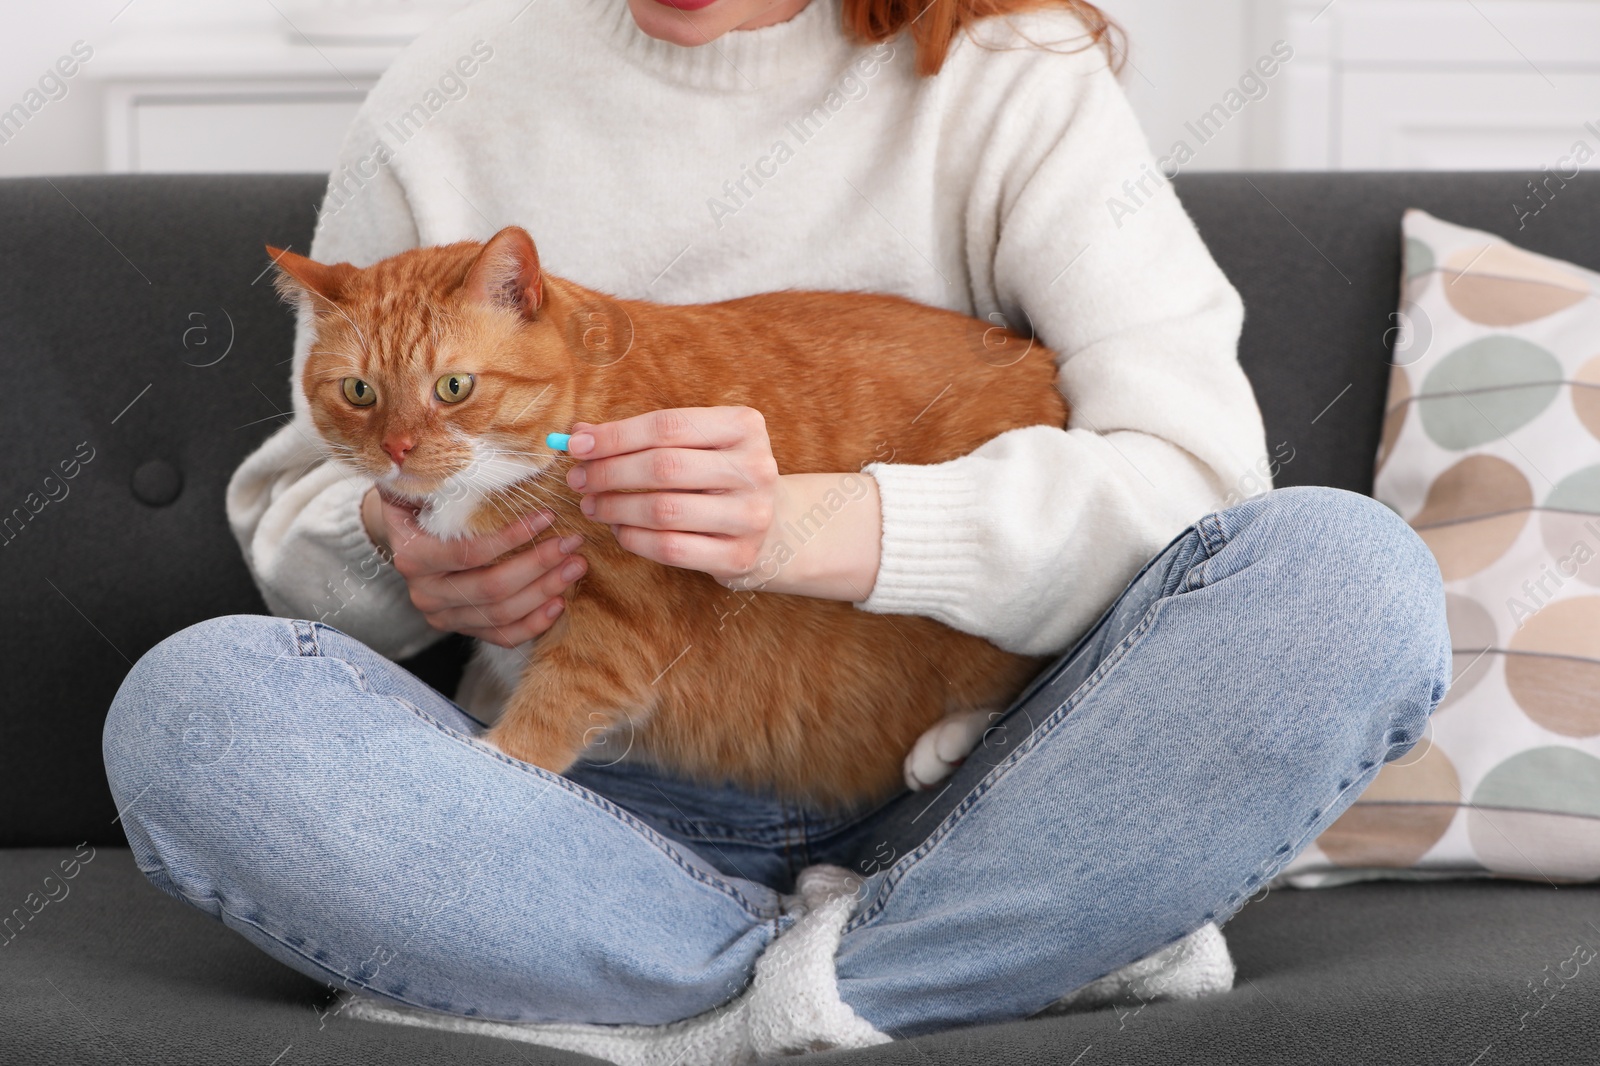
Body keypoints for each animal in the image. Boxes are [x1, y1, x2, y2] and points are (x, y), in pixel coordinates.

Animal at [272, 224, 1075, 806]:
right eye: (359, 392)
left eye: (454, 386)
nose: (397, 450)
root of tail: (1041, 362)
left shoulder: (621, 624)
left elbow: (553, 708)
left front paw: (494, 757)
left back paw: (947, 740)